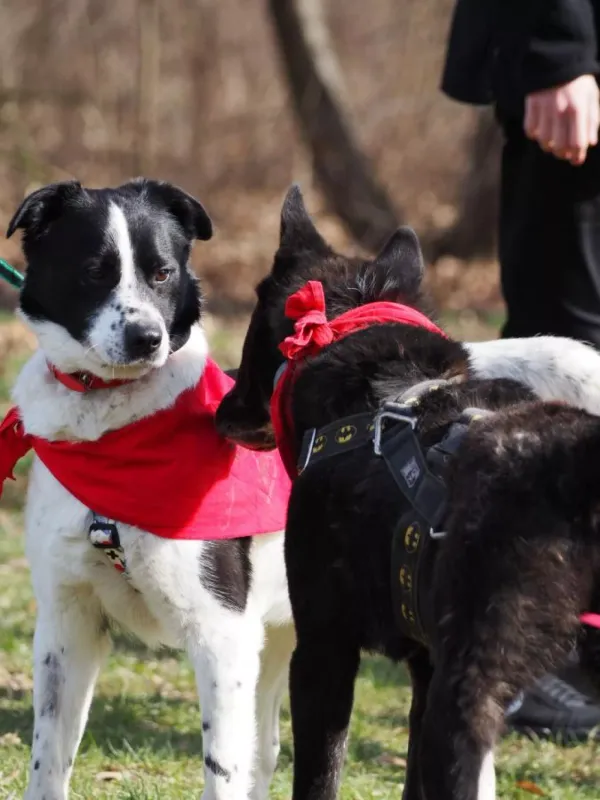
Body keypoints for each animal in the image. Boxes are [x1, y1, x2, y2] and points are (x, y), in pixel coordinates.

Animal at [217, 184, 600, 796]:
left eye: (254, 335)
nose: (220, 410)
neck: (384, 394)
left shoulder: (324, 650)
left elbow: (320, 776)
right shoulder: (424, 667)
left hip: (467, 698)